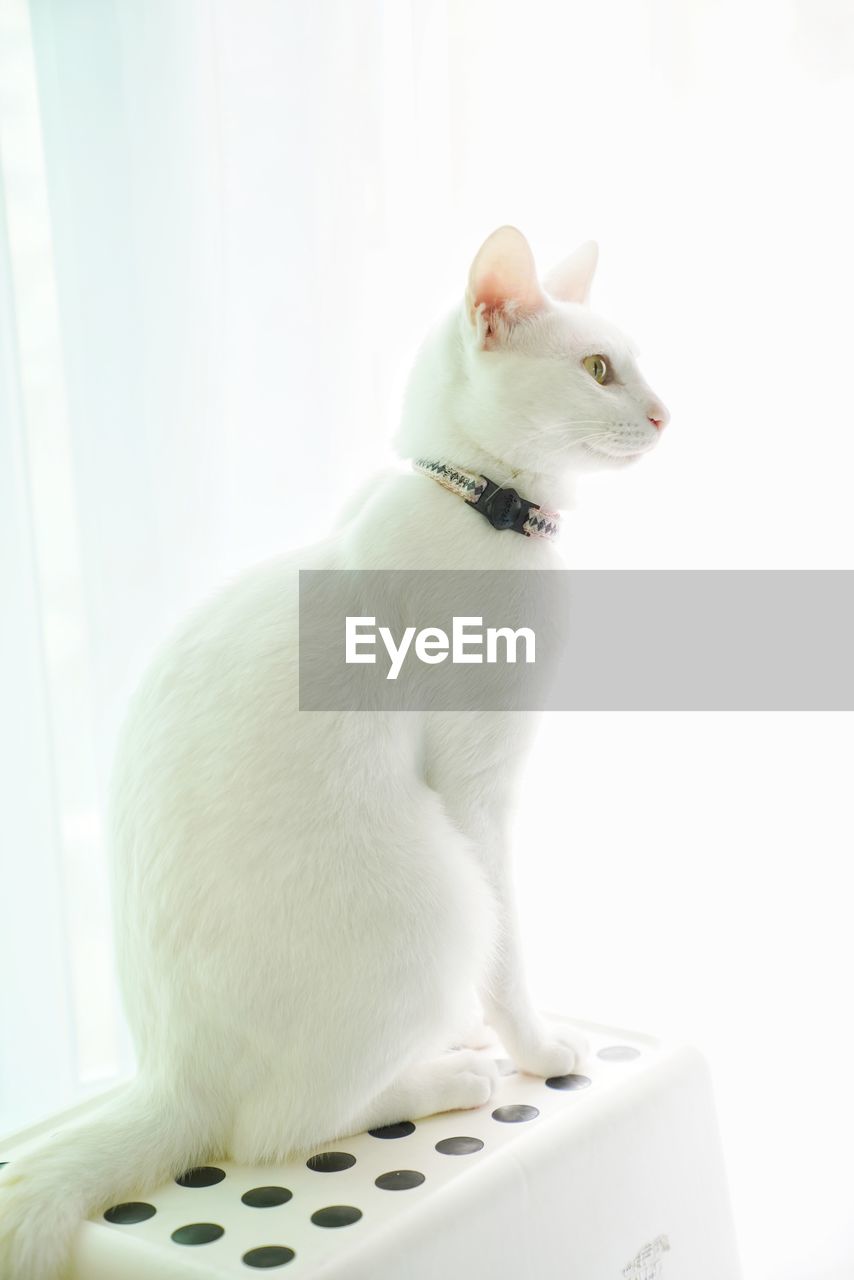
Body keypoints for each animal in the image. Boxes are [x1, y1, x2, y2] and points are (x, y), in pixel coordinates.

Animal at [0, 225, 665, 1274]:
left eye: (636, 364)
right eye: (600, 369)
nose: (665, 412)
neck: (476, 502)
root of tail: (169, 1076)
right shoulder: (477, 789)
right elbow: (512, 957)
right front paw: (537, 1049)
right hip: (441, 893)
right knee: (274, 1129)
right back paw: (451, 1077)